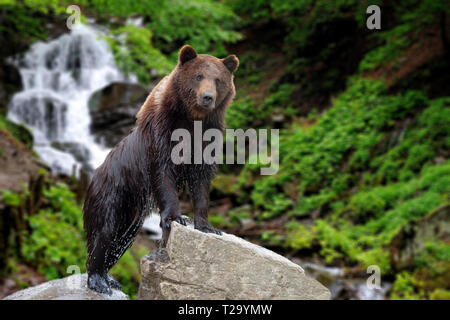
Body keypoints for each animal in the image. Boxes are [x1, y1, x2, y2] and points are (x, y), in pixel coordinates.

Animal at [84, 45, 239, 296]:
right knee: (104, 231)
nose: (207, 97)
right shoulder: (162, 133)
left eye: (218, 79)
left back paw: (110, 278)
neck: (192, 120)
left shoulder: (207, 140)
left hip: (132, 213)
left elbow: (202, 182)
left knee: (121, 239)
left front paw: (207, 226)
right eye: (198, 76)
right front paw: (175, 218)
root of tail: (94, 175)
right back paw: (98, 280)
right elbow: (163, 174)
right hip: (112, 192)